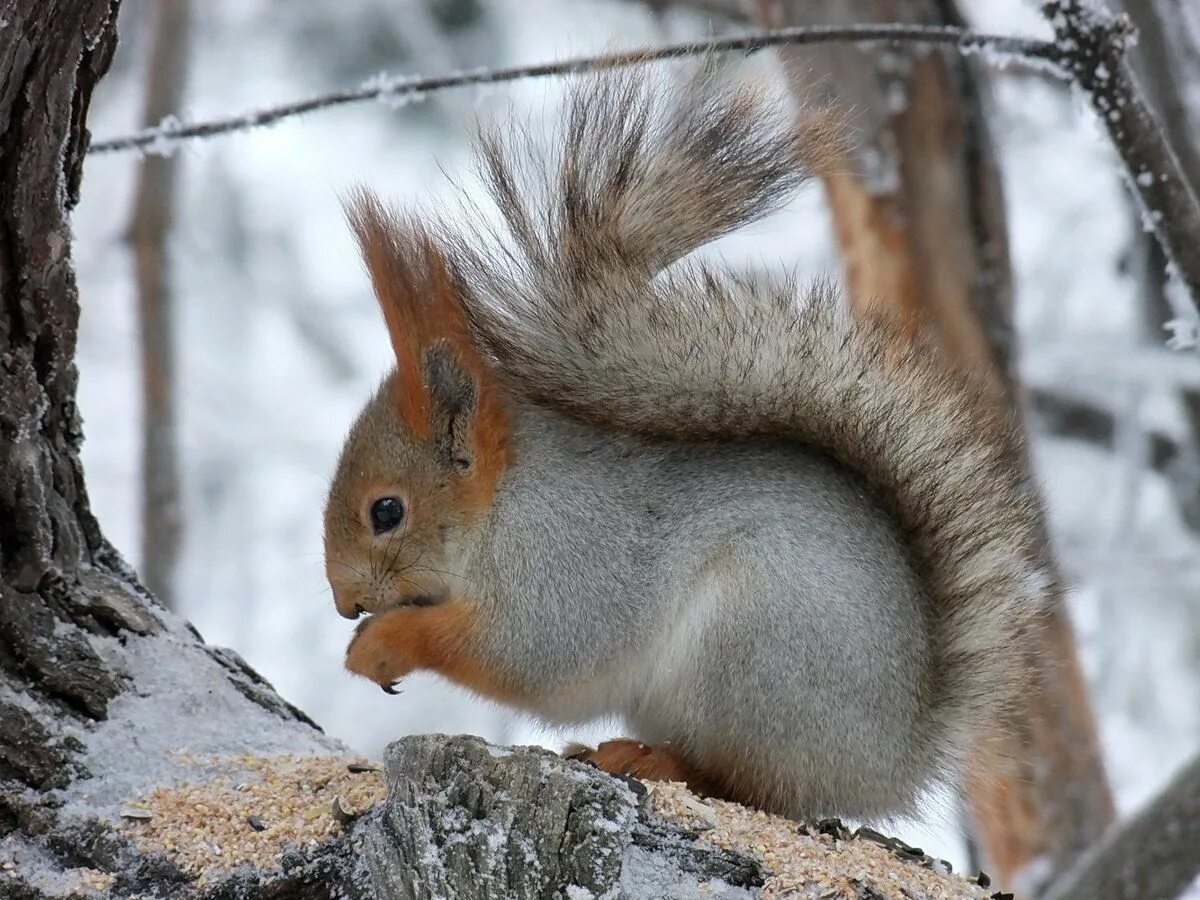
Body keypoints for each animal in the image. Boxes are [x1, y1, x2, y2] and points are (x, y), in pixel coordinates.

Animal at [324, 65, 1056, 825]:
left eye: (386, 512)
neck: (503, 502)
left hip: (751, 656)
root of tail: (892, 764)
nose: (344, 602)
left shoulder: (569, 564)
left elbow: (527, 654)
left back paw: (658, 762)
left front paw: (384, 644)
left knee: (751, 786)